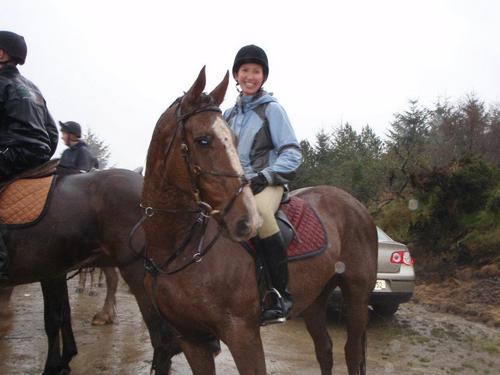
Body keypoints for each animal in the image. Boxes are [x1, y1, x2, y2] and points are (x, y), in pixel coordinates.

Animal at [0, 170, 179, 375]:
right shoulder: (57, 272)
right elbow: (64, 314)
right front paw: (65, 360)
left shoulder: (49, 272)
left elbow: (53, 319)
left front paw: (53, 366)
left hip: (137, 272)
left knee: (164, 340)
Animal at [141, 68, 378, 375]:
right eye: (203, 139)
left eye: (233, 138)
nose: (247, 222)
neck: (180, 247)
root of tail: (357, 205)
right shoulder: (191, 338)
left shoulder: (242, 333)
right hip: (316, 298)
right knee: (325, 349)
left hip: (357, 294)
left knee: (352, 352)